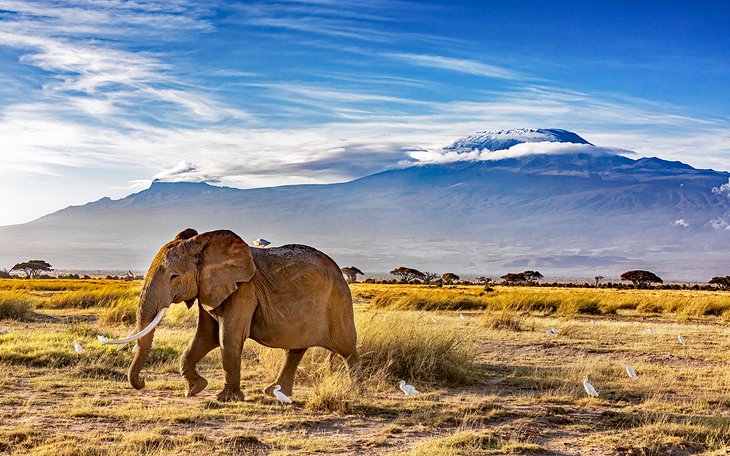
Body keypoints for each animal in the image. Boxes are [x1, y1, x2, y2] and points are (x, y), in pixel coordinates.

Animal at [106, 230, 356, 400]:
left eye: (174, 276)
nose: (142, 382)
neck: (205, 245)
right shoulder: (208, 290)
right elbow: (205, 337)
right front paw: (195, 389)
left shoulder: (243, 290)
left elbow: (228, 337)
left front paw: (226, 399)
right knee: (295, 349)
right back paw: (274, 393)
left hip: (338, 301)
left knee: (347, 349)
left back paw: (355, 389)